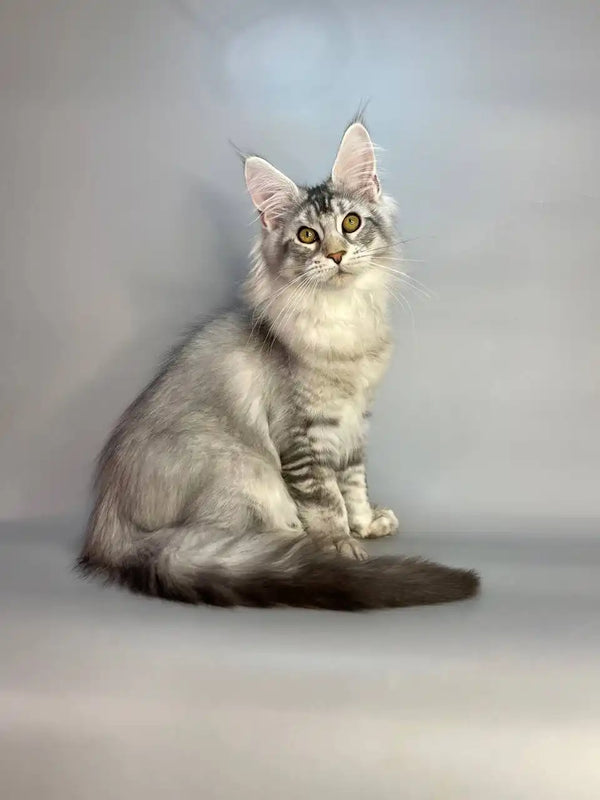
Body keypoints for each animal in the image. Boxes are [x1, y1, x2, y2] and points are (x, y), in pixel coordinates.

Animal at [76, 117, 478, 608]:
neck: (342, 325)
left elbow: (354, 484)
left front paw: (365, 523)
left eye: (350, 223)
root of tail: (108, 528)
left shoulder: (354, 423)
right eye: (307, 236)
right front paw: (339, 544)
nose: (336, 255)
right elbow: (327, 499)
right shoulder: (302, 434)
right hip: (243, 471)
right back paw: (296, 544)